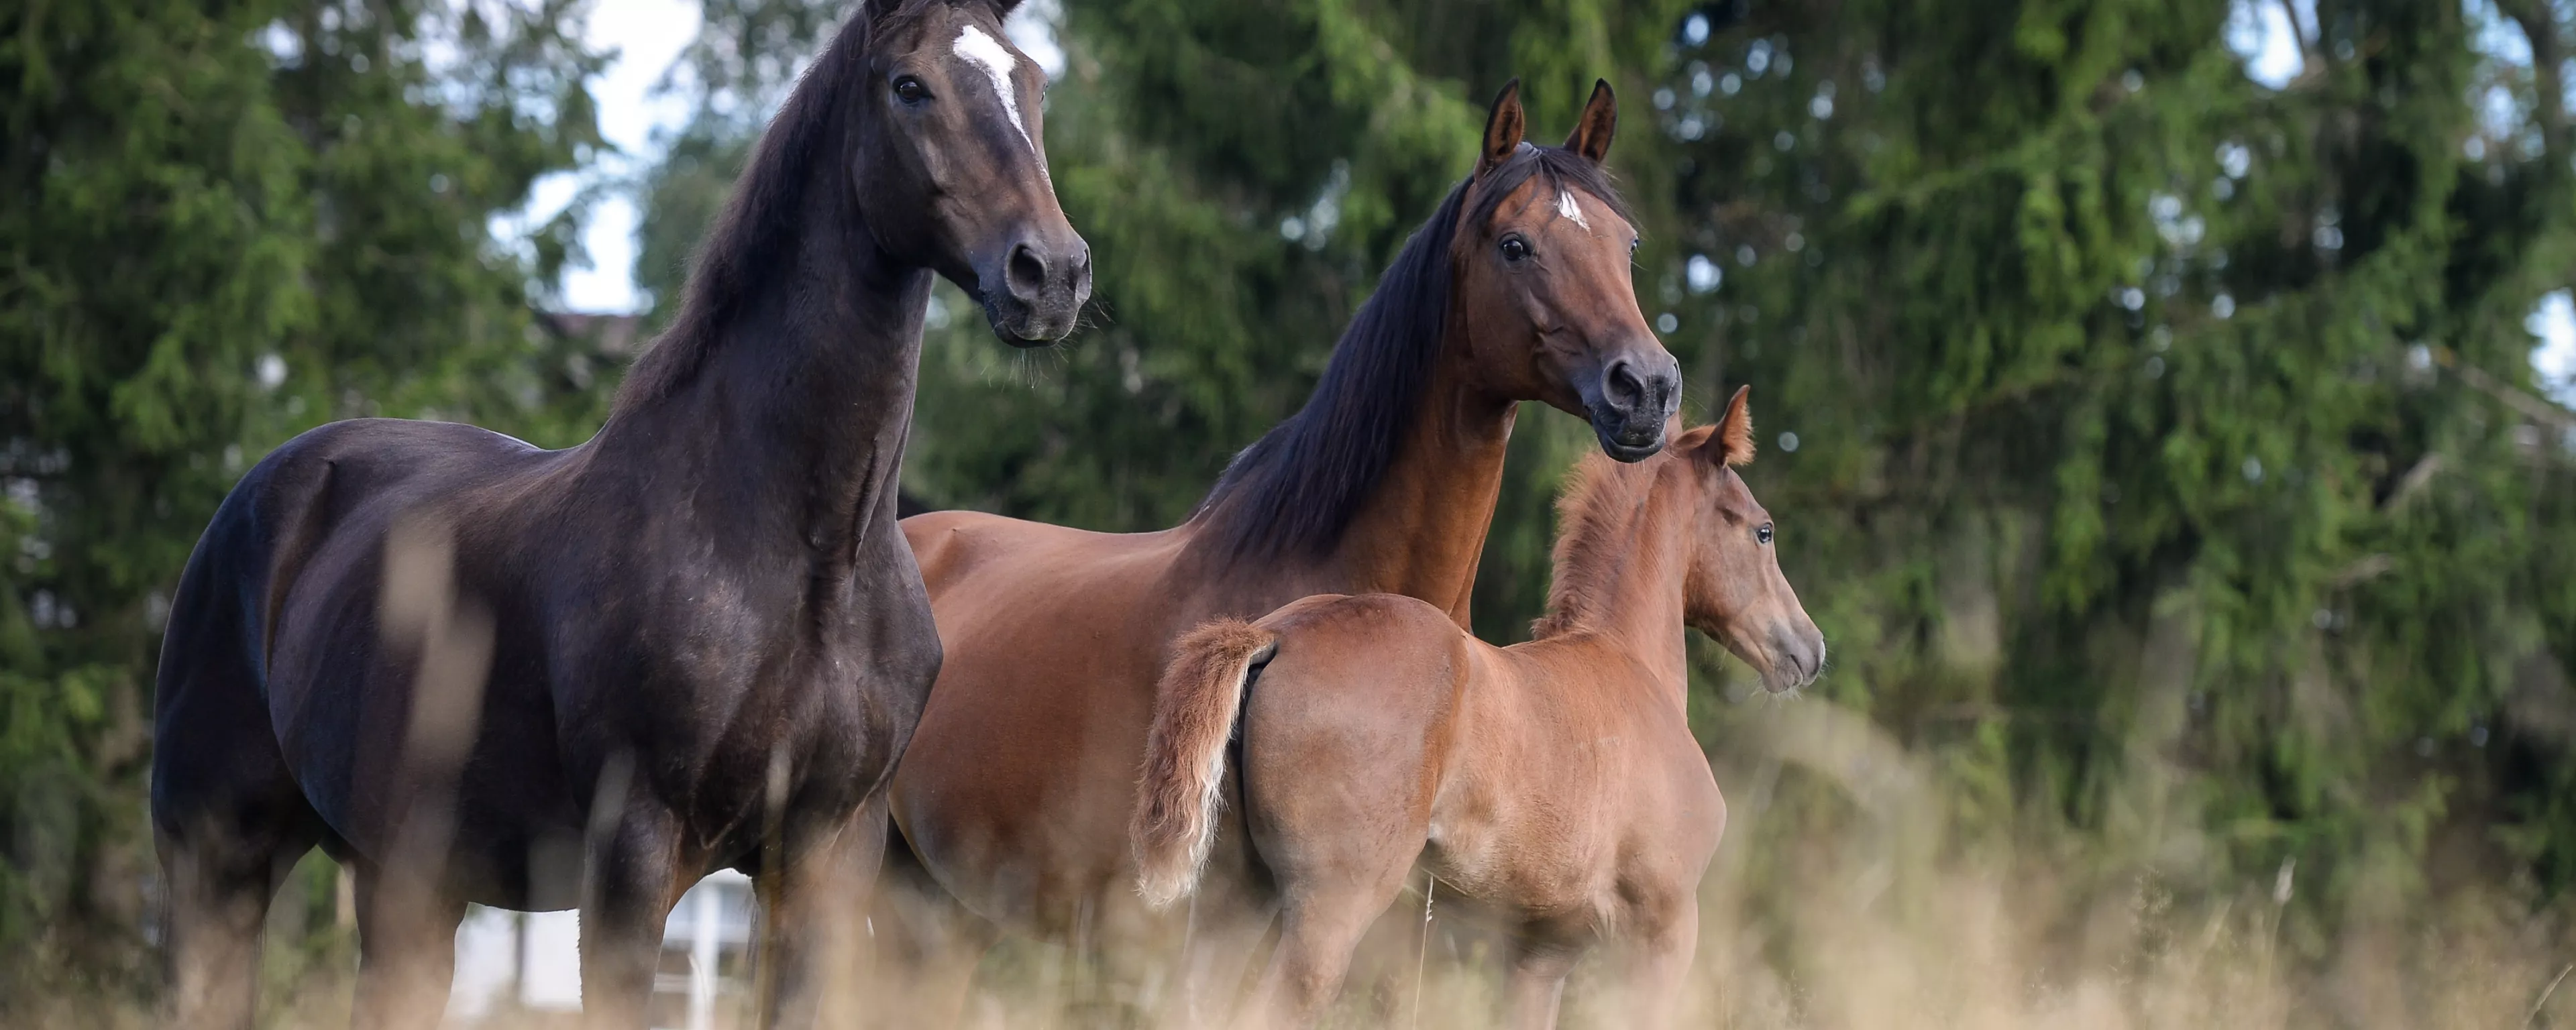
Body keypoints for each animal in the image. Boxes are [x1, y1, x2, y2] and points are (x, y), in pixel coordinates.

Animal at [144, 4, 1087, 1025]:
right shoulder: (634, 853)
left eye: (1031, 80)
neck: (803, 559)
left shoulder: (828, 857)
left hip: (409, 881)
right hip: (219, 859)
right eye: (910, 86)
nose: (1049, 272)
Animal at [1138, 388, 1823, 1030]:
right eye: (1763, 530)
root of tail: (1277, 635)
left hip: (1234, 890)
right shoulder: (1664, 928)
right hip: (1328, 909)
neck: (1627, 659)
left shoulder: (1542, 949)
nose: (1809, 648)